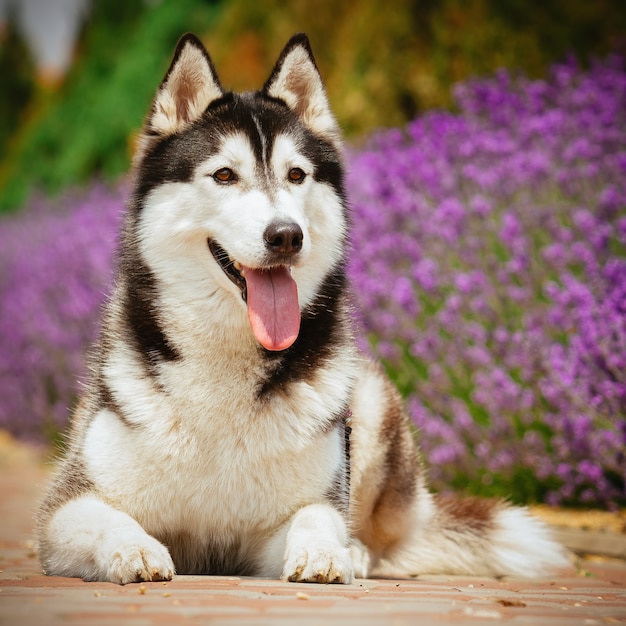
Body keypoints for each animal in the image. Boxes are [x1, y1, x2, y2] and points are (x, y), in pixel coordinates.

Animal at [36, 33, 568, 580]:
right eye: (224, 175)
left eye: (296, 175)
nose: (287, 235)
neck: (225, 373)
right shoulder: (65, 508)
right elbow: (106, 519)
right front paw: (134, 548)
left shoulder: (286, 521)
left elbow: (316, 515)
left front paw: (327, 552)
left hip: (368, 399)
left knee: (386, 540)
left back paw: (358, 551)